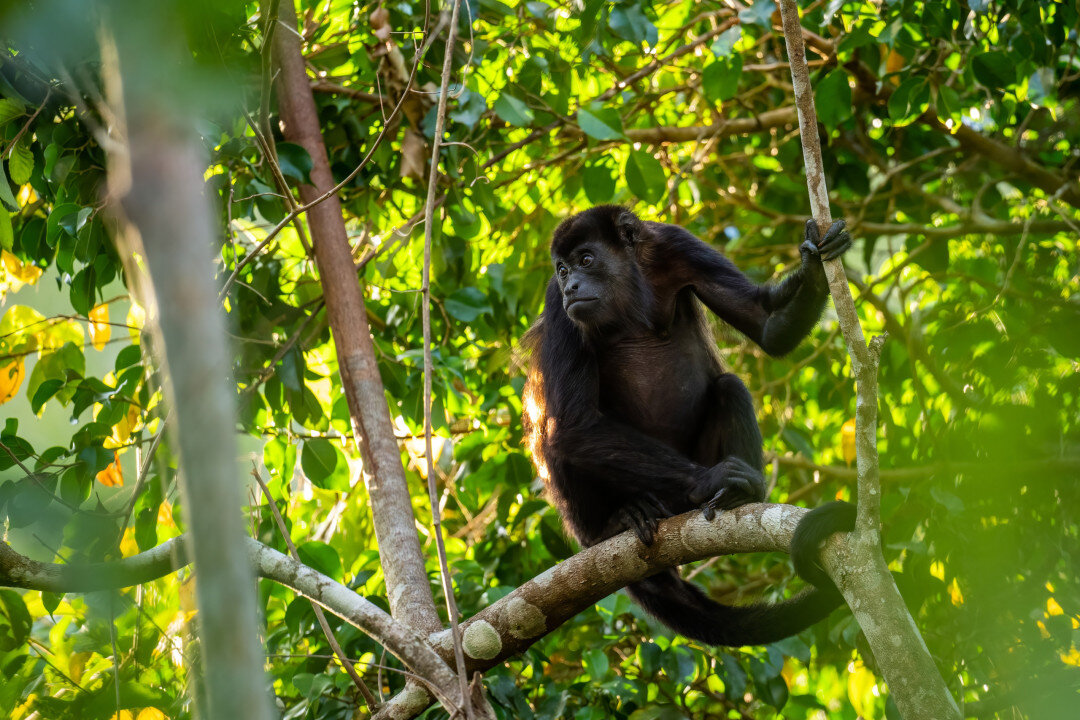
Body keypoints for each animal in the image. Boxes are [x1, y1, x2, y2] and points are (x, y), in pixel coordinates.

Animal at [527, 207, 855, 647]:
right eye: (561, 270)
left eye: (585, 260)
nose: (572, 285)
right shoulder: (556, 303)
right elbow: (572, 424)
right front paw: (714, 477)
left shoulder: (678, 246)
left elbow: (765, 326)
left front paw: (816, 269)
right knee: (555, 439)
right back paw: (615, 523)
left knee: (730, 386)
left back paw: (740, 497)